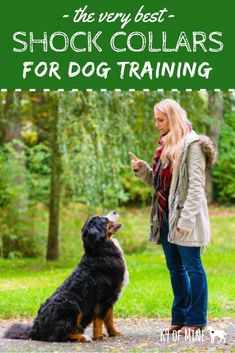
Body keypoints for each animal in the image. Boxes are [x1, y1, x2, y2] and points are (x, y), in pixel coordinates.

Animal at [4, 210, 129, 340]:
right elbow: (99, 320)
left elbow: (109, 319)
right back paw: (83, 337)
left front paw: (114, 333)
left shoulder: (110, 297)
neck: (100, 252)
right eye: (103, 219)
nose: (114, 211)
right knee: (60, 334)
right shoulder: (103, 297)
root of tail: (35, 329)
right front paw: (98, 336)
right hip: (71, 303)